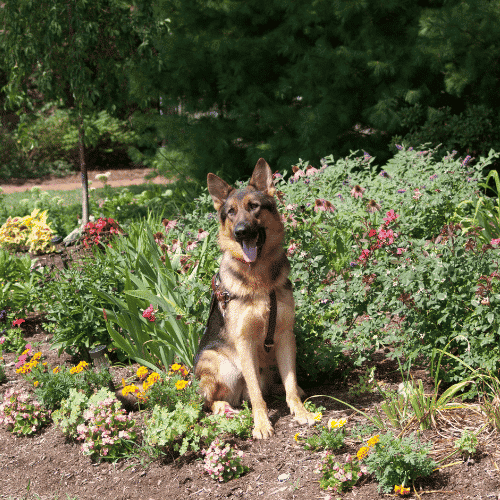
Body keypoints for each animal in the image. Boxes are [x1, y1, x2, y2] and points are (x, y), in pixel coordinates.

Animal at [193, 158, 314, 440]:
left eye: (254, 207)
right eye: (231, 212)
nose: (241, 232)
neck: (260, 280)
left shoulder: (285, 336)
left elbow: (290, 382)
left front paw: (300, 411)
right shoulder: (244, 343)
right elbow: (257, 395)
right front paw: (261, 423)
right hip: (220, 363)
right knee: (208, 400)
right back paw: (224, 407)